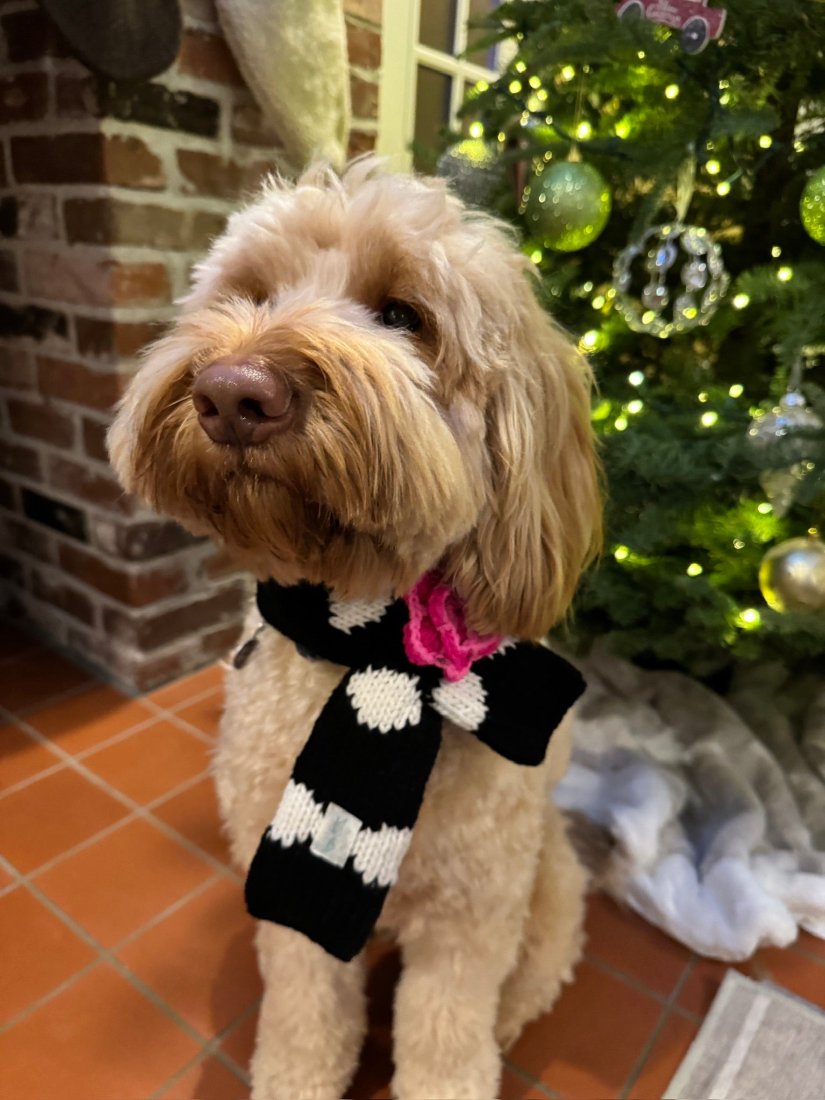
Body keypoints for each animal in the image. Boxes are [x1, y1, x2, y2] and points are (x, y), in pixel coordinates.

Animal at [108, 157, 602, 1100]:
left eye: (403, 315)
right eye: (251, 293)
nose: (234, 393)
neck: (366, 646)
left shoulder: (469, 919)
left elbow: (446, 1046)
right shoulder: (286, 904)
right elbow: (306, 1020)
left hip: (547, 880)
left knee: (534, 975)